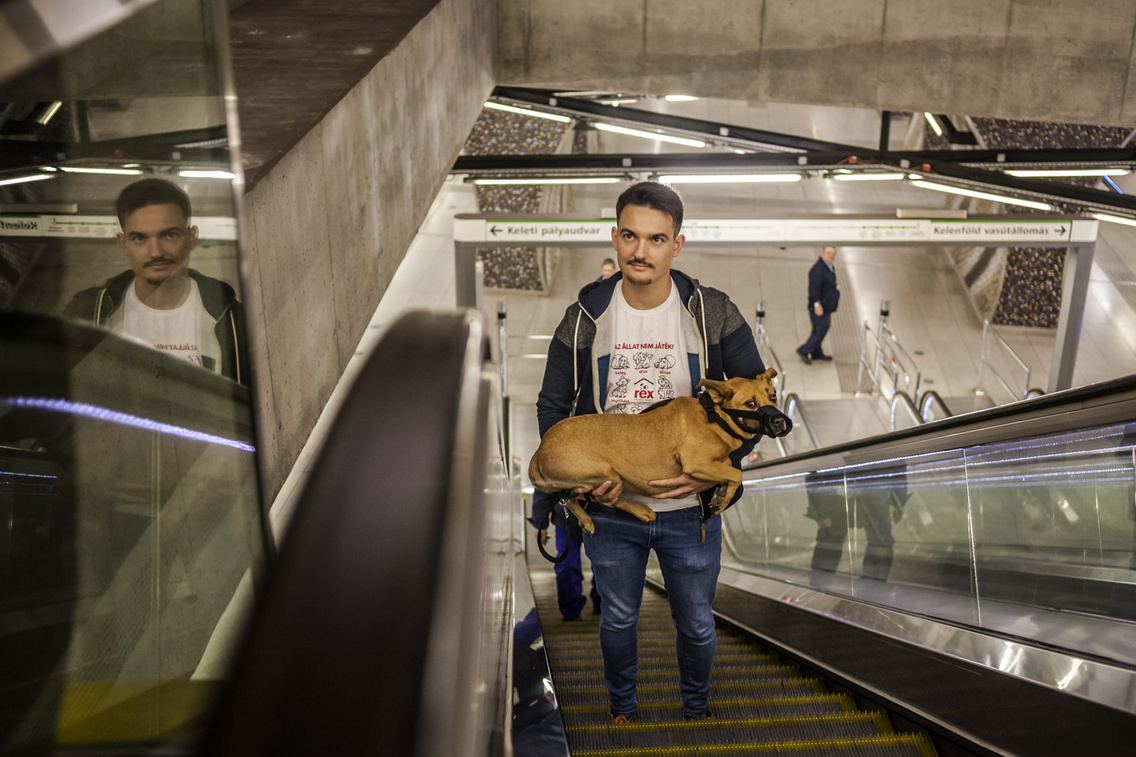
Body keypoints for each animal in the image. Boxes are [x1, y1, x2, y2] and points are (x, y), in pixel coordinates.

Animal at [524, 368, 786, 534]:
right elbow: (736, 474)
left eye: (773, 397)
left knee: (572, 500)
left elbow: (728, 475)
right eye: (750, 404)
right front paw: (725, 497)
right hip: (607, 475)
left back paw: (588, 520)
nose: (781, 422)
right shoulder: (697, 463)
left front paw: (721, 493)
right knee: (602, 499)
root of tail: (540, 449)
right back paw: (638, 511)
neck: (714, 417)